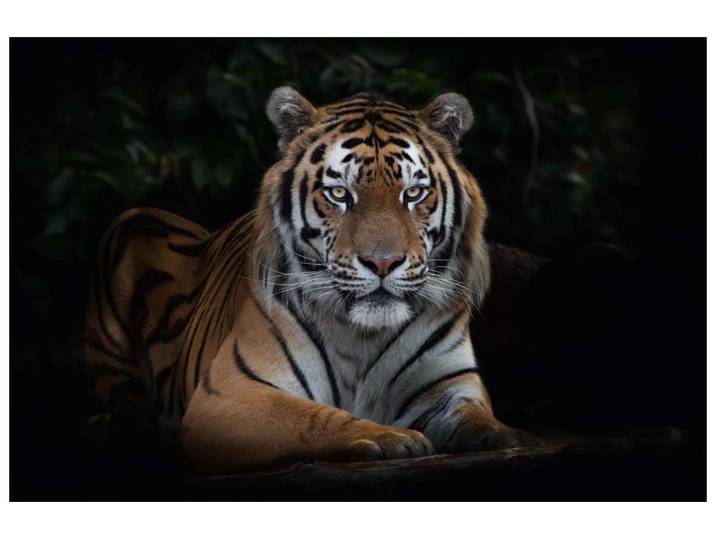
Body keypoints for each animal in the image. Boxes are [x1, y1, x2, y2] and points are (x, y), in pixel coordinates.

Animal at [84, 87, 536, 474]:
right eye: (339, 194)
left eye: (413, 194)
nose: (383, 262)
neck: (363, 336)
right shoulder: (230, 394)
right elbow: (313, 417)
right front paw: (390, 436)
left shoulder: (451, 387)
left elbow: (479, 418)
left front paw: (505, 435)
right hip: (133, 221)